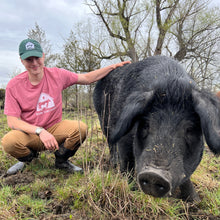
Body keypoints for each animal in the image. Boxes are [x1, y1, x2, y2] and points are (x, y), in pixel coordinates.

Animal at [93, 56, 220, 201]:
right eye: (146, 124)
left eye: (190, 129)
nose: (154, 175)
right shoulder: (124, 139)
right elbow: (127, 164)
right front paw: (132, 190)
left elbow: (185, 177)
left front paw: (195, 201)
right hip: (103, 120)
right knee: (111, 142)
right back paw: (113, 164)